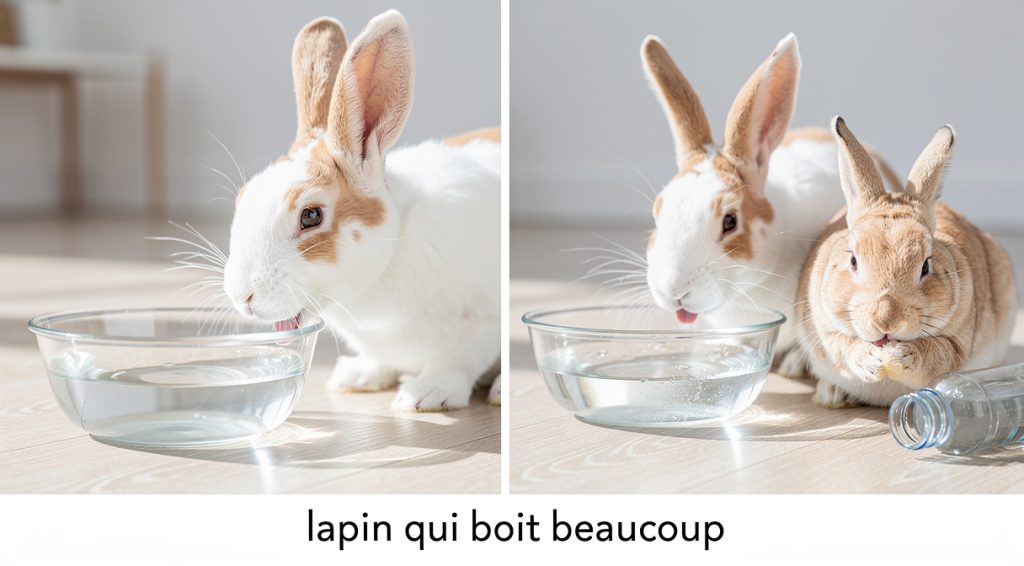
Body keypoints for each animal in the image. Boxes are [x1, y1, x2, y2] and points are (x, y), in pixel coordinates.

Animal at [222, 11, 500, 412]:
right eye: (243, 199)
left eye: (311, 215)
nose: (241, 296)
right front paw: (356, 377)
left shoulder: (484, 323)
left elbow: (458, 360)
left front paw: (424, 395)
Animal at [795, 116, 1017, 408]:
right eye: (853, 260)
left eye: (925, 266)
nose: (885, 321)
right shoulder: (823, 333)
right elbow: (842, 347)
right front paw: (871, 360)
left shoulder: (957, 344)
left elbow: (937, 353)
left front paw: (902, 356)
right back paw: (830, 393)